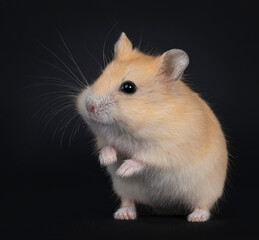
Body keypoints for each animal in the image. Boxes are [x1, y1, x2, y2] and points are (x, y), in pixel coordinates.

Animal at [76, 32, 228, 222]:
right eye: (101, 75)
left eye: (129, 87)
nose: (89, 106)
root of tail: (166, 209)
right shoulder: (106, 139)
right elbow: (108, 147)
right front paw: (107, 159)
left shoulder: (167, 150)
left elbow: (143, 159)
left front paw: (124, 169)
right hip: (124, 189)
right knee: (128, 201)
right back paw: (124, 214)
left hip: (207, 190)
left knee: (203, 205)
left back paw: (196, 217)